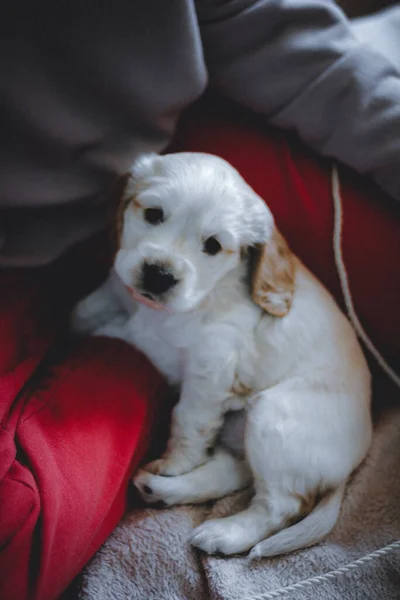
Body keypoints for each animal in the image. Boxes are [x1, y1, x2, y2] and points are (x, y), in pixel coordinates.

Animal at [72, 151, 372, 556]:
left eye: (213, 246)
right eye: (153, 214)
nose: (159, 275)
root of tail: (353, 463)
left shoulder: (211, 365)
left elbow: (187, 420)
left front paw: (176, 462)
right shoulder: (118, 295)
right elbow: (87, 311)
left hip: (273, 418)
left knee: (279, 505)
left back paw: (223, 532)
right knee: (235, 472)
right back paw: (161, 490)